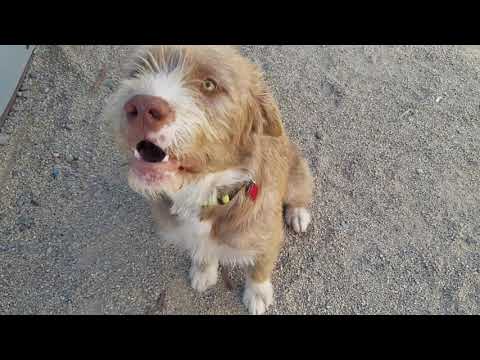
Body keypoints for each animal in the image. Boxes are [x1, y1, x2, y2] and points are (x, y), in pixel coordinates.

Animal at [103, 45, 314, 316]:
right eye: (138, 70)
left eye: (209, 84)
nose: (139, 106)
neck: (203, 189)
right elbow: (203, 251)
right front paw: (204, 272)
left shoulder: (268, 238)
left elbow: (260, 268)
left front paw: (257, 294)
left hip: (298, 175)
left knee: (301, 195)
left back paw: (298, 214)